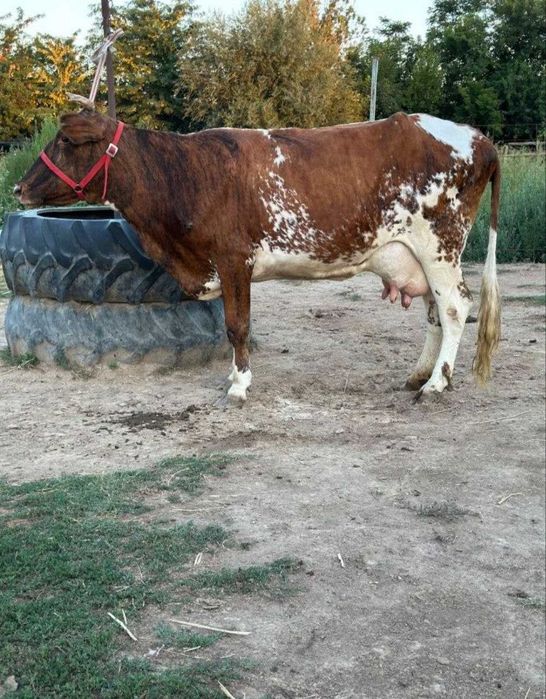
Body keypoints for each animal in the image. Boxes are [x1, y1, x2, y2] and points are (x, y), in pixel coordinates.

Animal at [14, 110, 501, 403]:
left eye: (65, 140)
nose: (18, 187)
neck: (185, 173)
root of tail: (478, 137)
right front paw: (235, 378)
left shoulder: (233, 260)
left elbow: (237, 326)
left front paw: (239, 385)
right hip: (419, 255)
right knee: (435, 312)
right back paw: (419, 374)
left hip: (440, 244)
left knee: (454, 307)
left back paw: (437, 383)